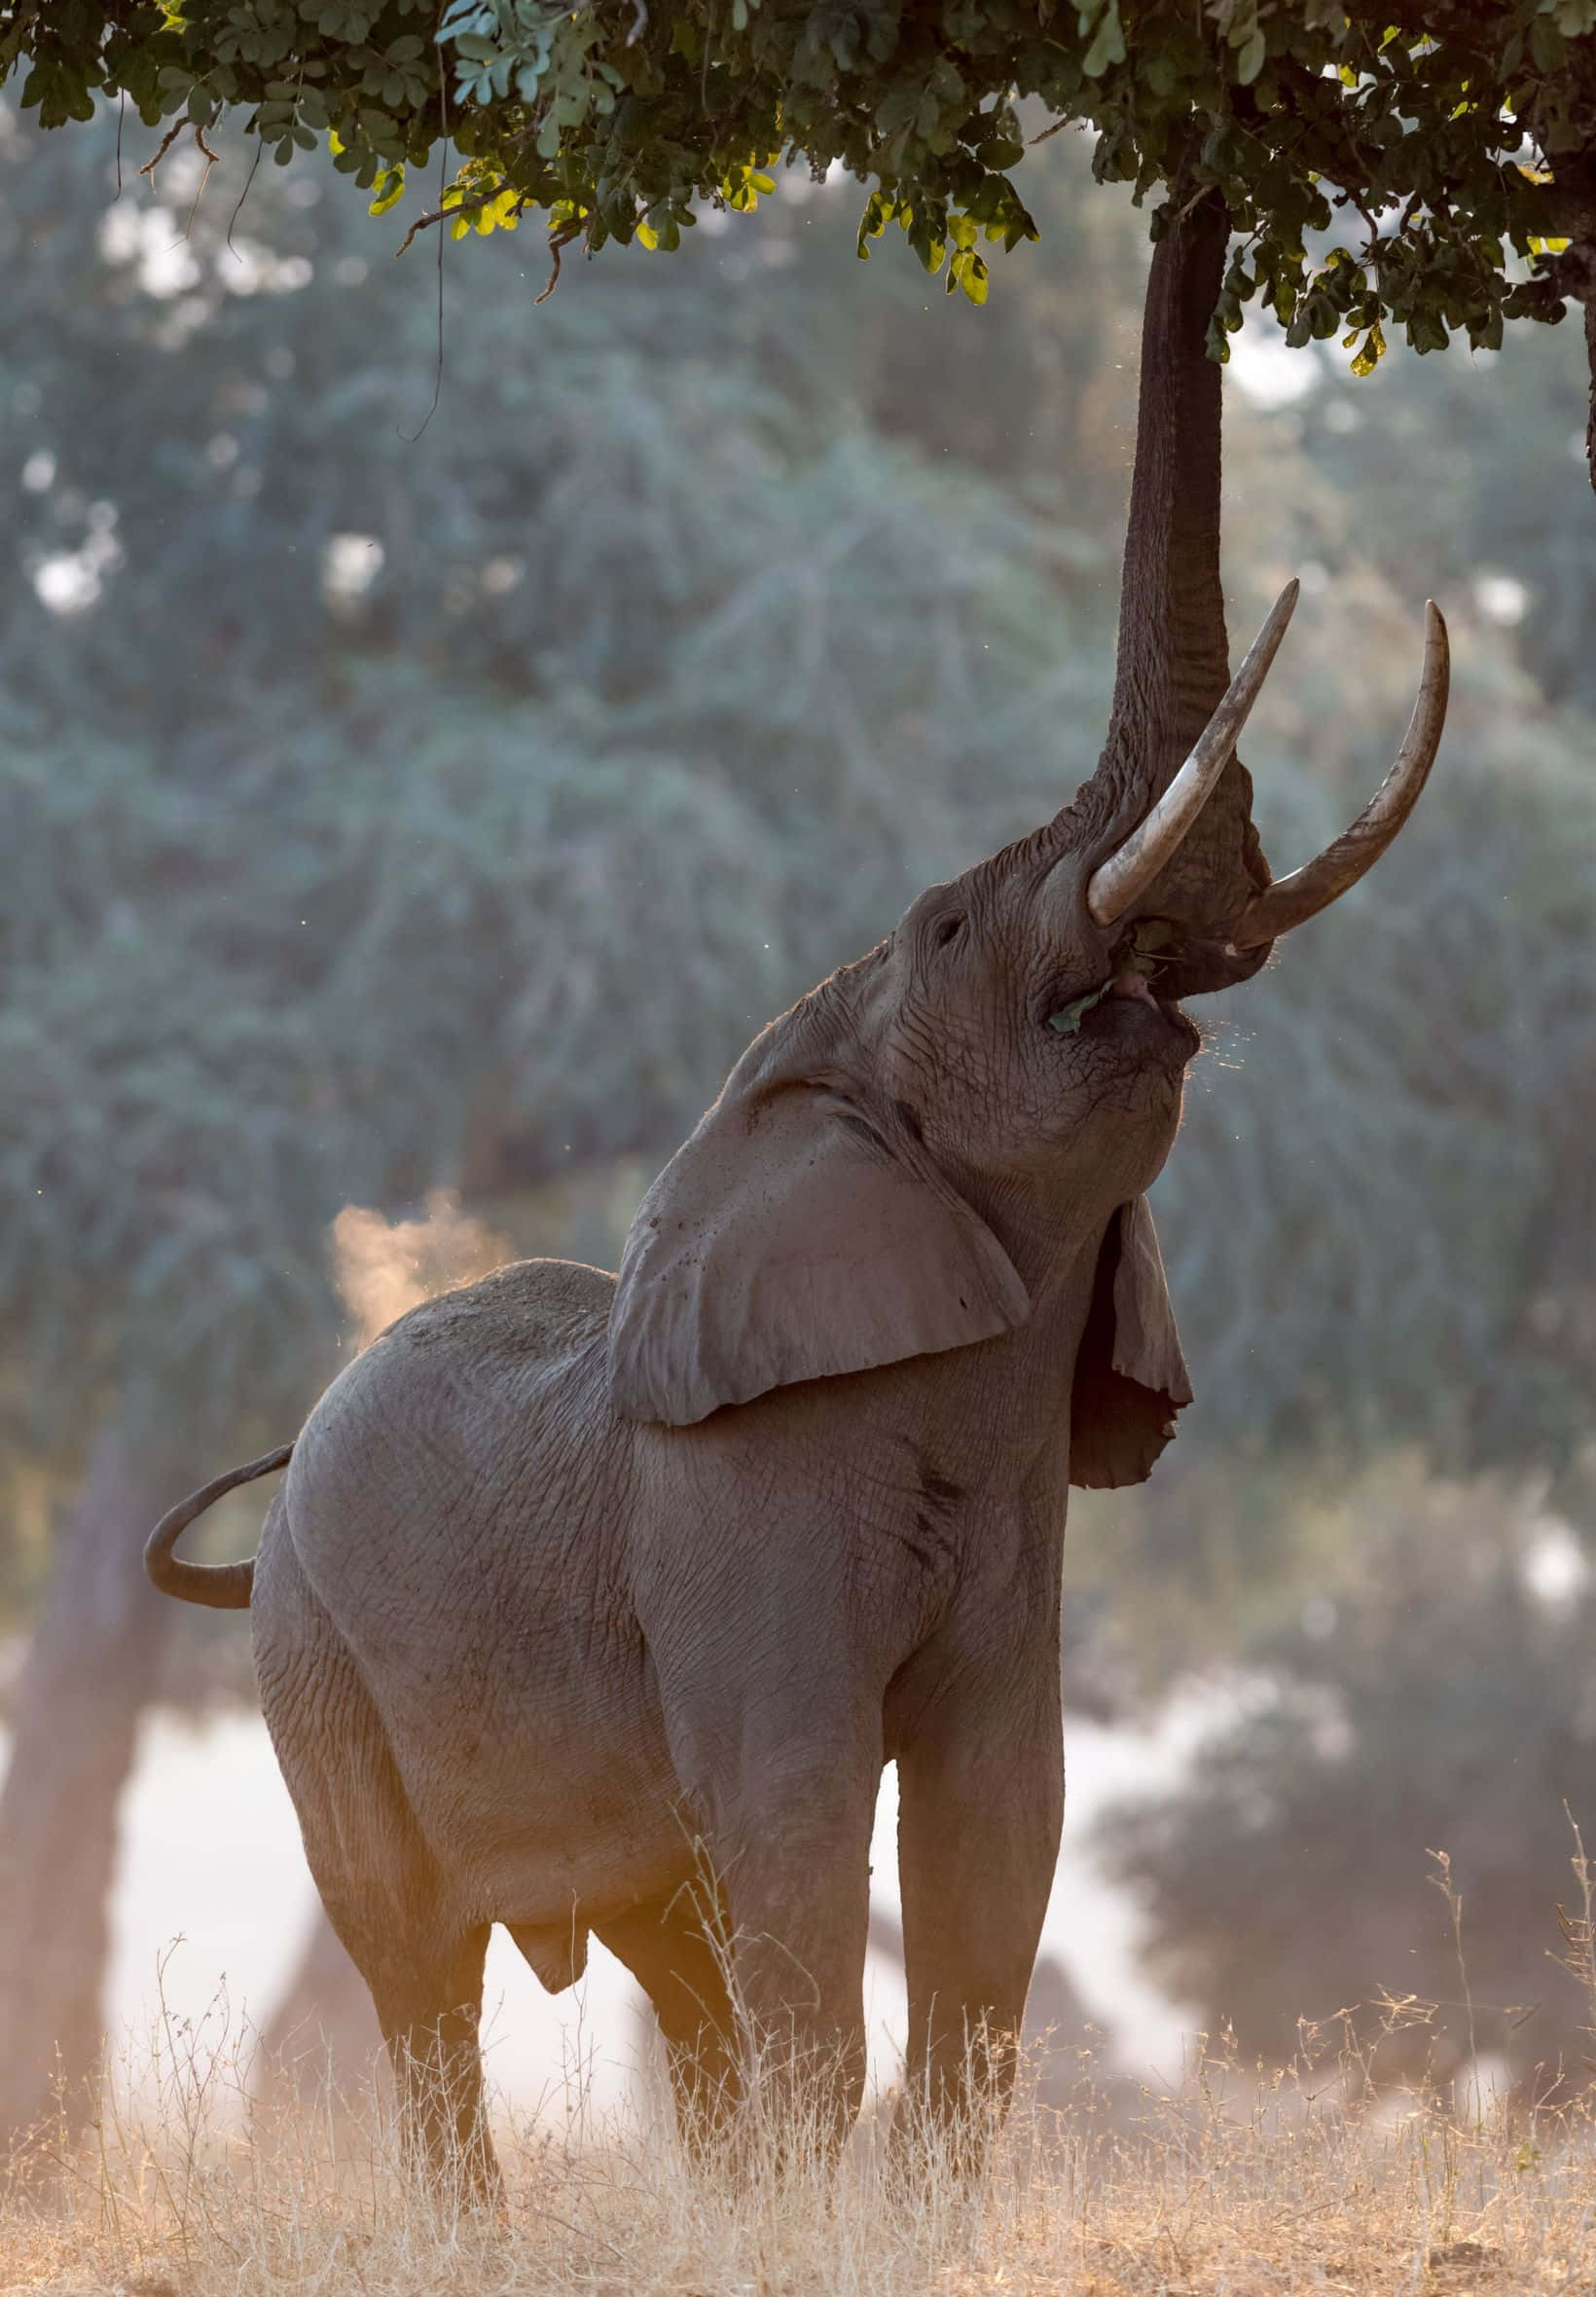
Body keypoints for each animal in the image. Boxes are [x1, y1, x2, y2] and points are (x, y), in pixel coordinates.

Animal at [145, 191, 1448, 2190]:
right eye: (951, 931)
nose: (1193, 193)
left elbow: (1001, 1810)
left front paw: (906, 2217)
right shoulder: (736, 1502)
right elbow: (796, 1809)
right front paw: (841, 2216)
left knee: (658, 1941)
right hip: (315, 1664)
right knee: (415, 1956)